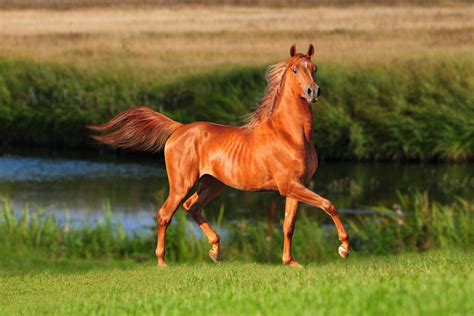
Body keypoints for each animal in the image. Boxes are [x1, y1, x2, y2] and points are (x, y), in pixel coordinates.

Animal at [88, 43, 348, 266]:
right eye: (295, 69)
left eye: (314, 68)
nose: (313, 91)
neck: (290, 134)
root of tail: (178, 129)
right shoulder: (289, 186)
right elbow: (329, 204)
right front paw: (344, 248)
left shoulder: (296, 186)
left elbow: (288, 225)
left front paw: (291, 262)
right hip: (182, 183)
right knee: (165, 214)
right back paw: (162, 261)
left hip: (213, 183)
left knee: (192, 207)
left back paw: (214, 250)